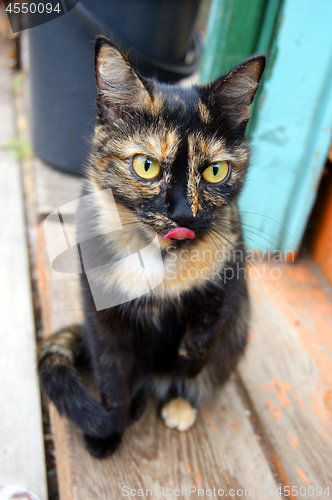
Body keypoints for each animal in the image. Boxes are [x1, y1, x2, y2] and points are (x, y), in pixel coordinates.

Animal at [37, 34, 266, 458]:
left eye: (215, 171)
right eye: (147, 166)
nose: (184, 214)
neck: (158, 254)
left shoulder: (229, 274)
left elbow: (203, 336)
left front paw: (186, 367)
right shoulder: (101, 312)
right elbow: (111, 373)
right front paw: (109, 428)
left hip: (239, 330)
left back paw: (178, 403)